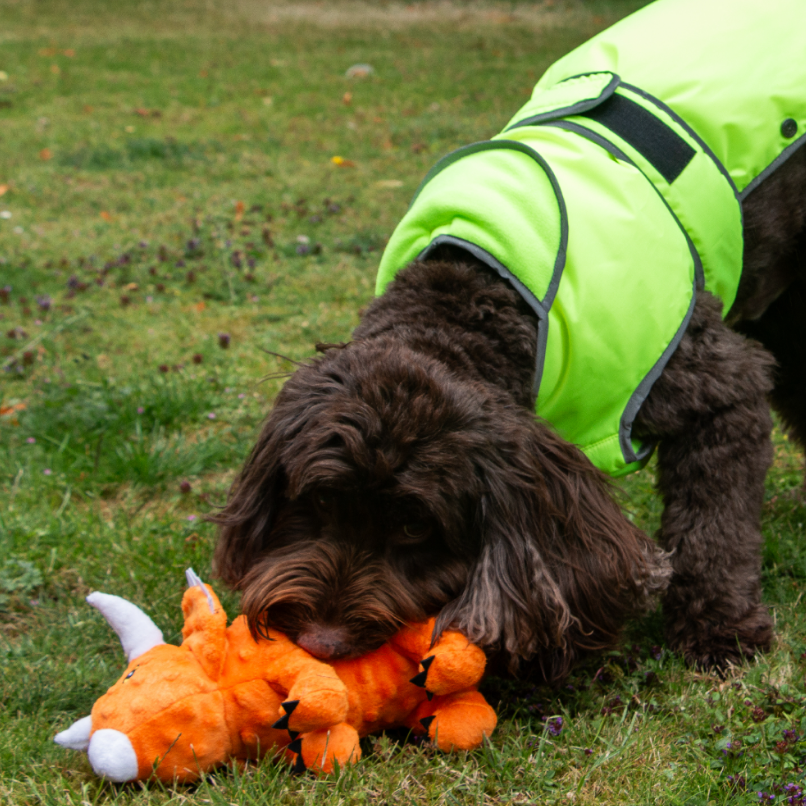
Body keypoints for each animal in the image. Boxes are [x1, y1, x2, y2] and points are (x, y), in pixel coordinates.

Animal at [210, 0, 806, 680]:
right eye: (321, 504)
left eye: (415, 527)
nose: (323, 643)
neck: (481, 293)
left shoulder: (713, 388)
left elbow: (714, 529)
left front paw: (719, 631)